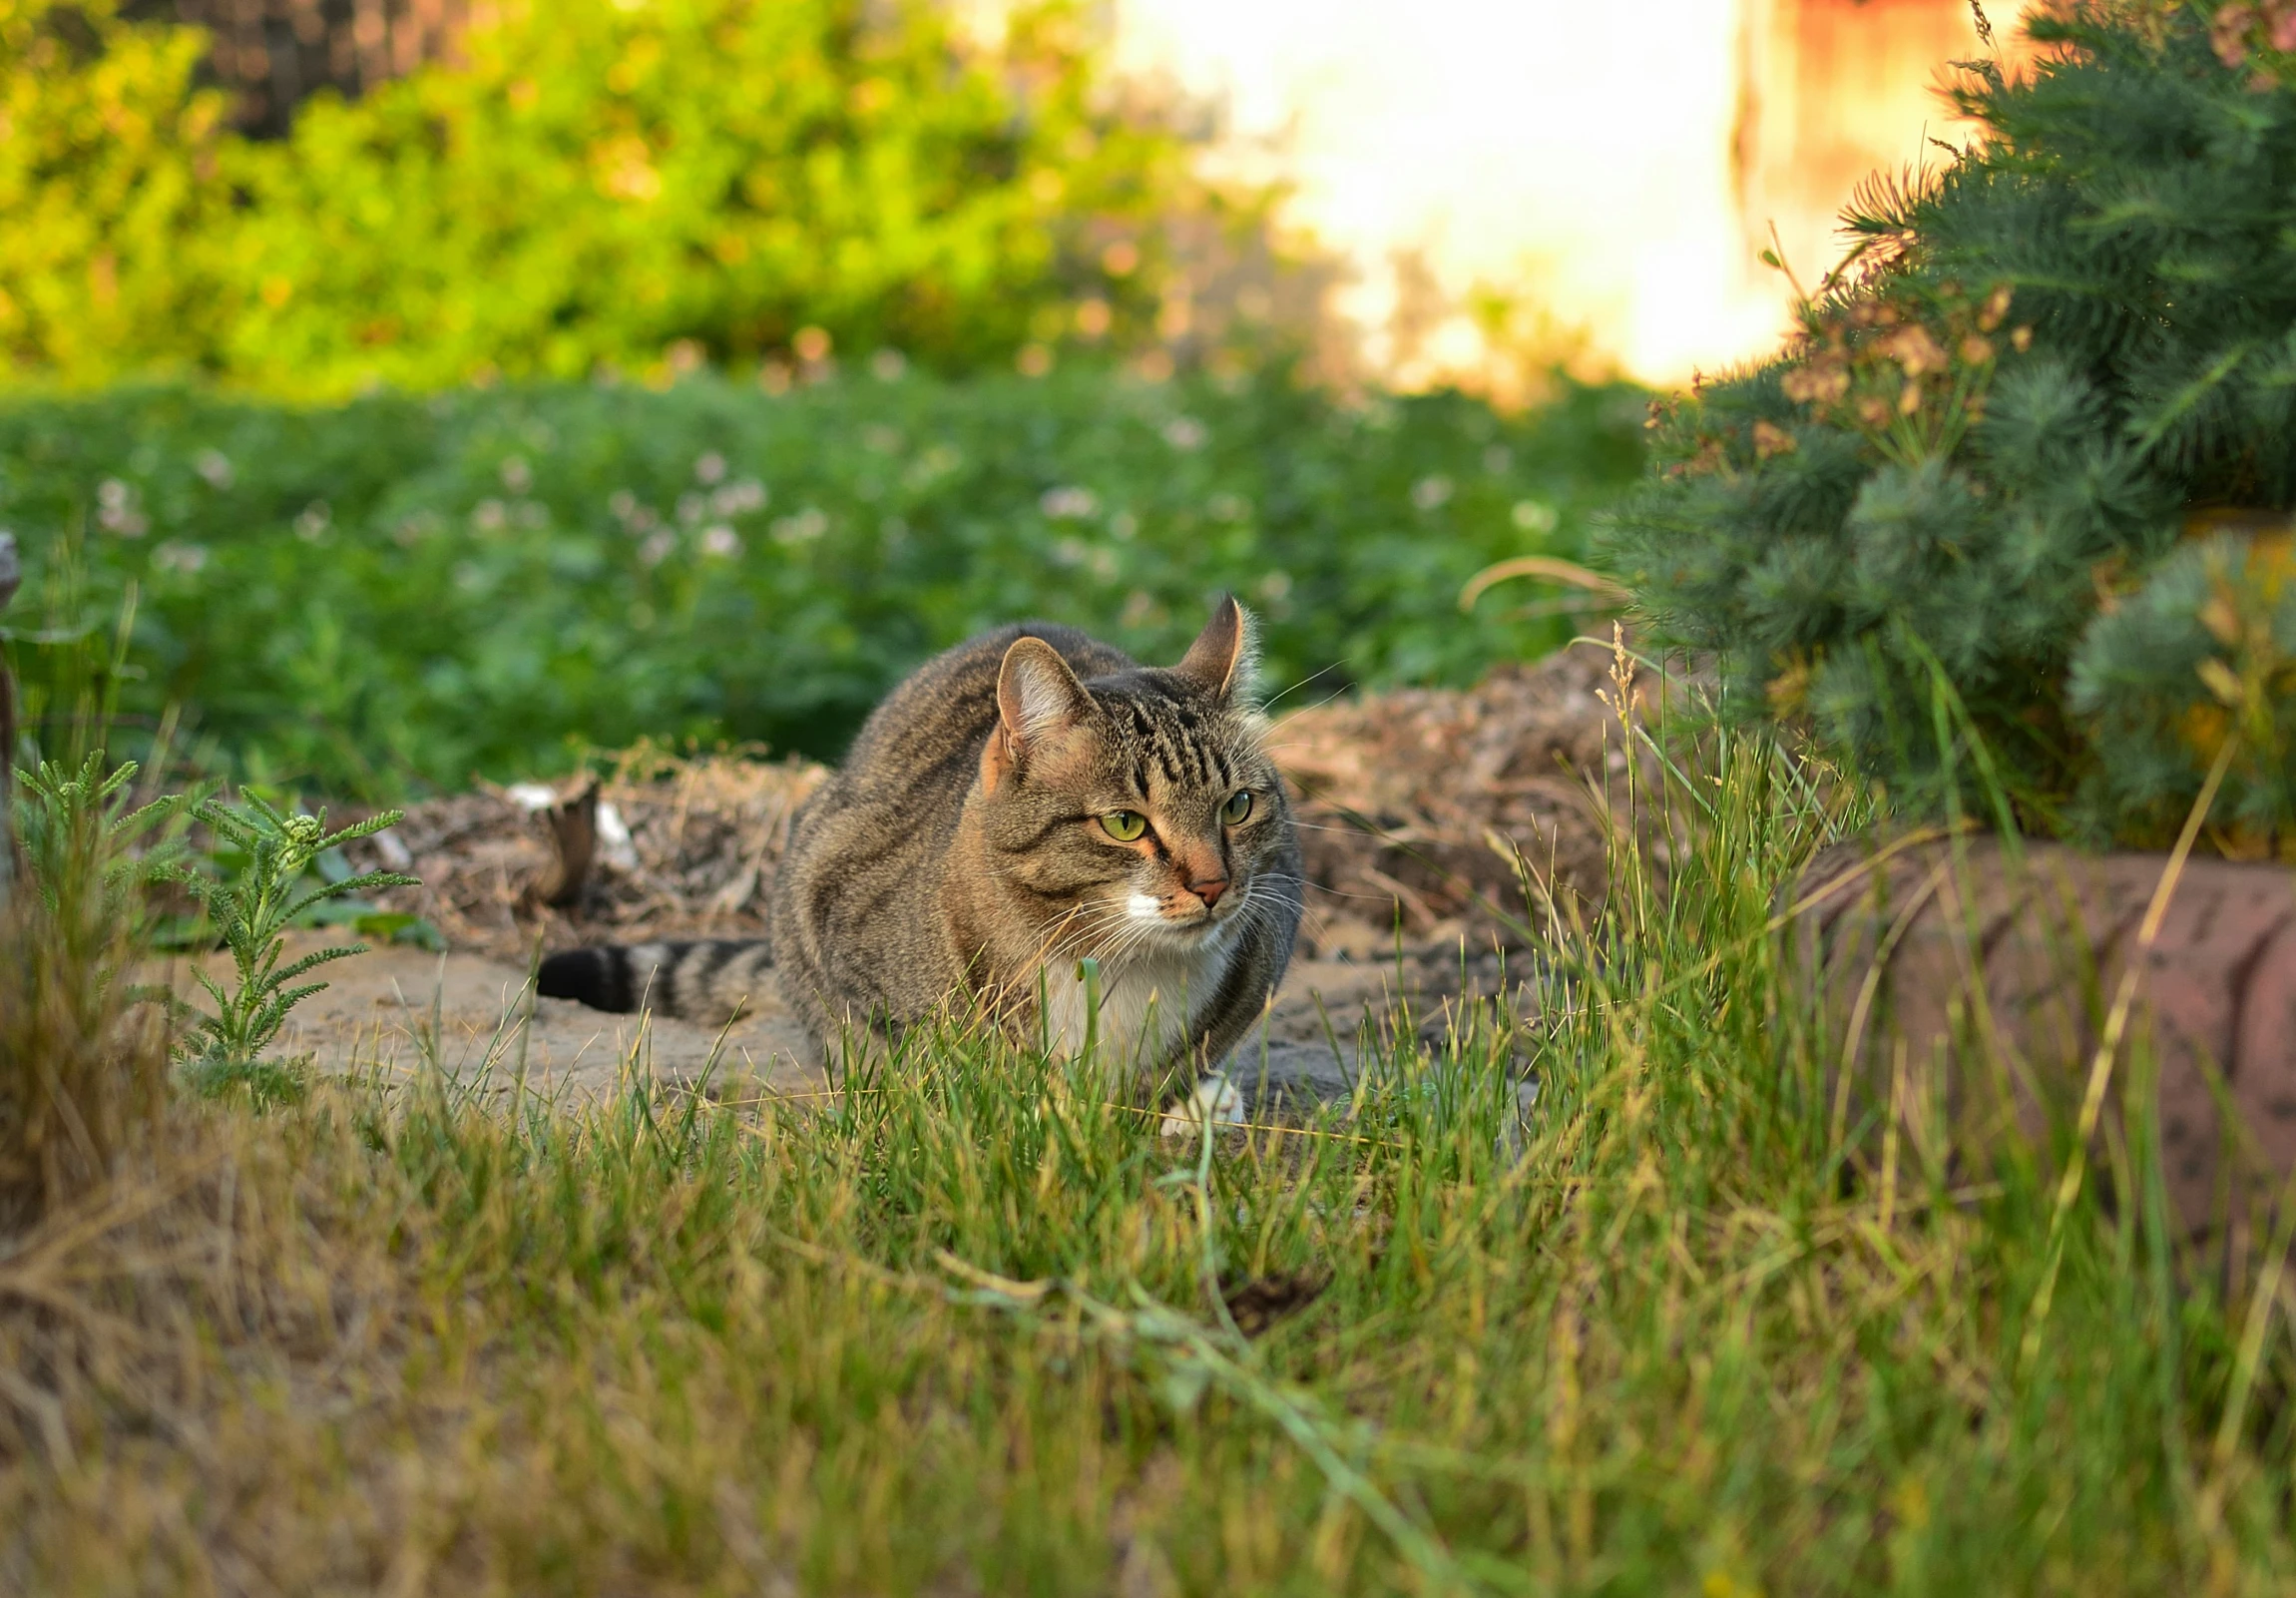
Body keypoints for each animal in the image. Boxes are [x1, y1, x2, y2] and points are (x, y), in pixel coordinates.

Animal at [528, 592, 1303, 1106]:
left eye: (1237, 806)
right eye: (1123, 824)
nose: (1213, 885)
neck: (1125, 965)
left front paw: (1183, 1102)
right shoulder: (830, 906)